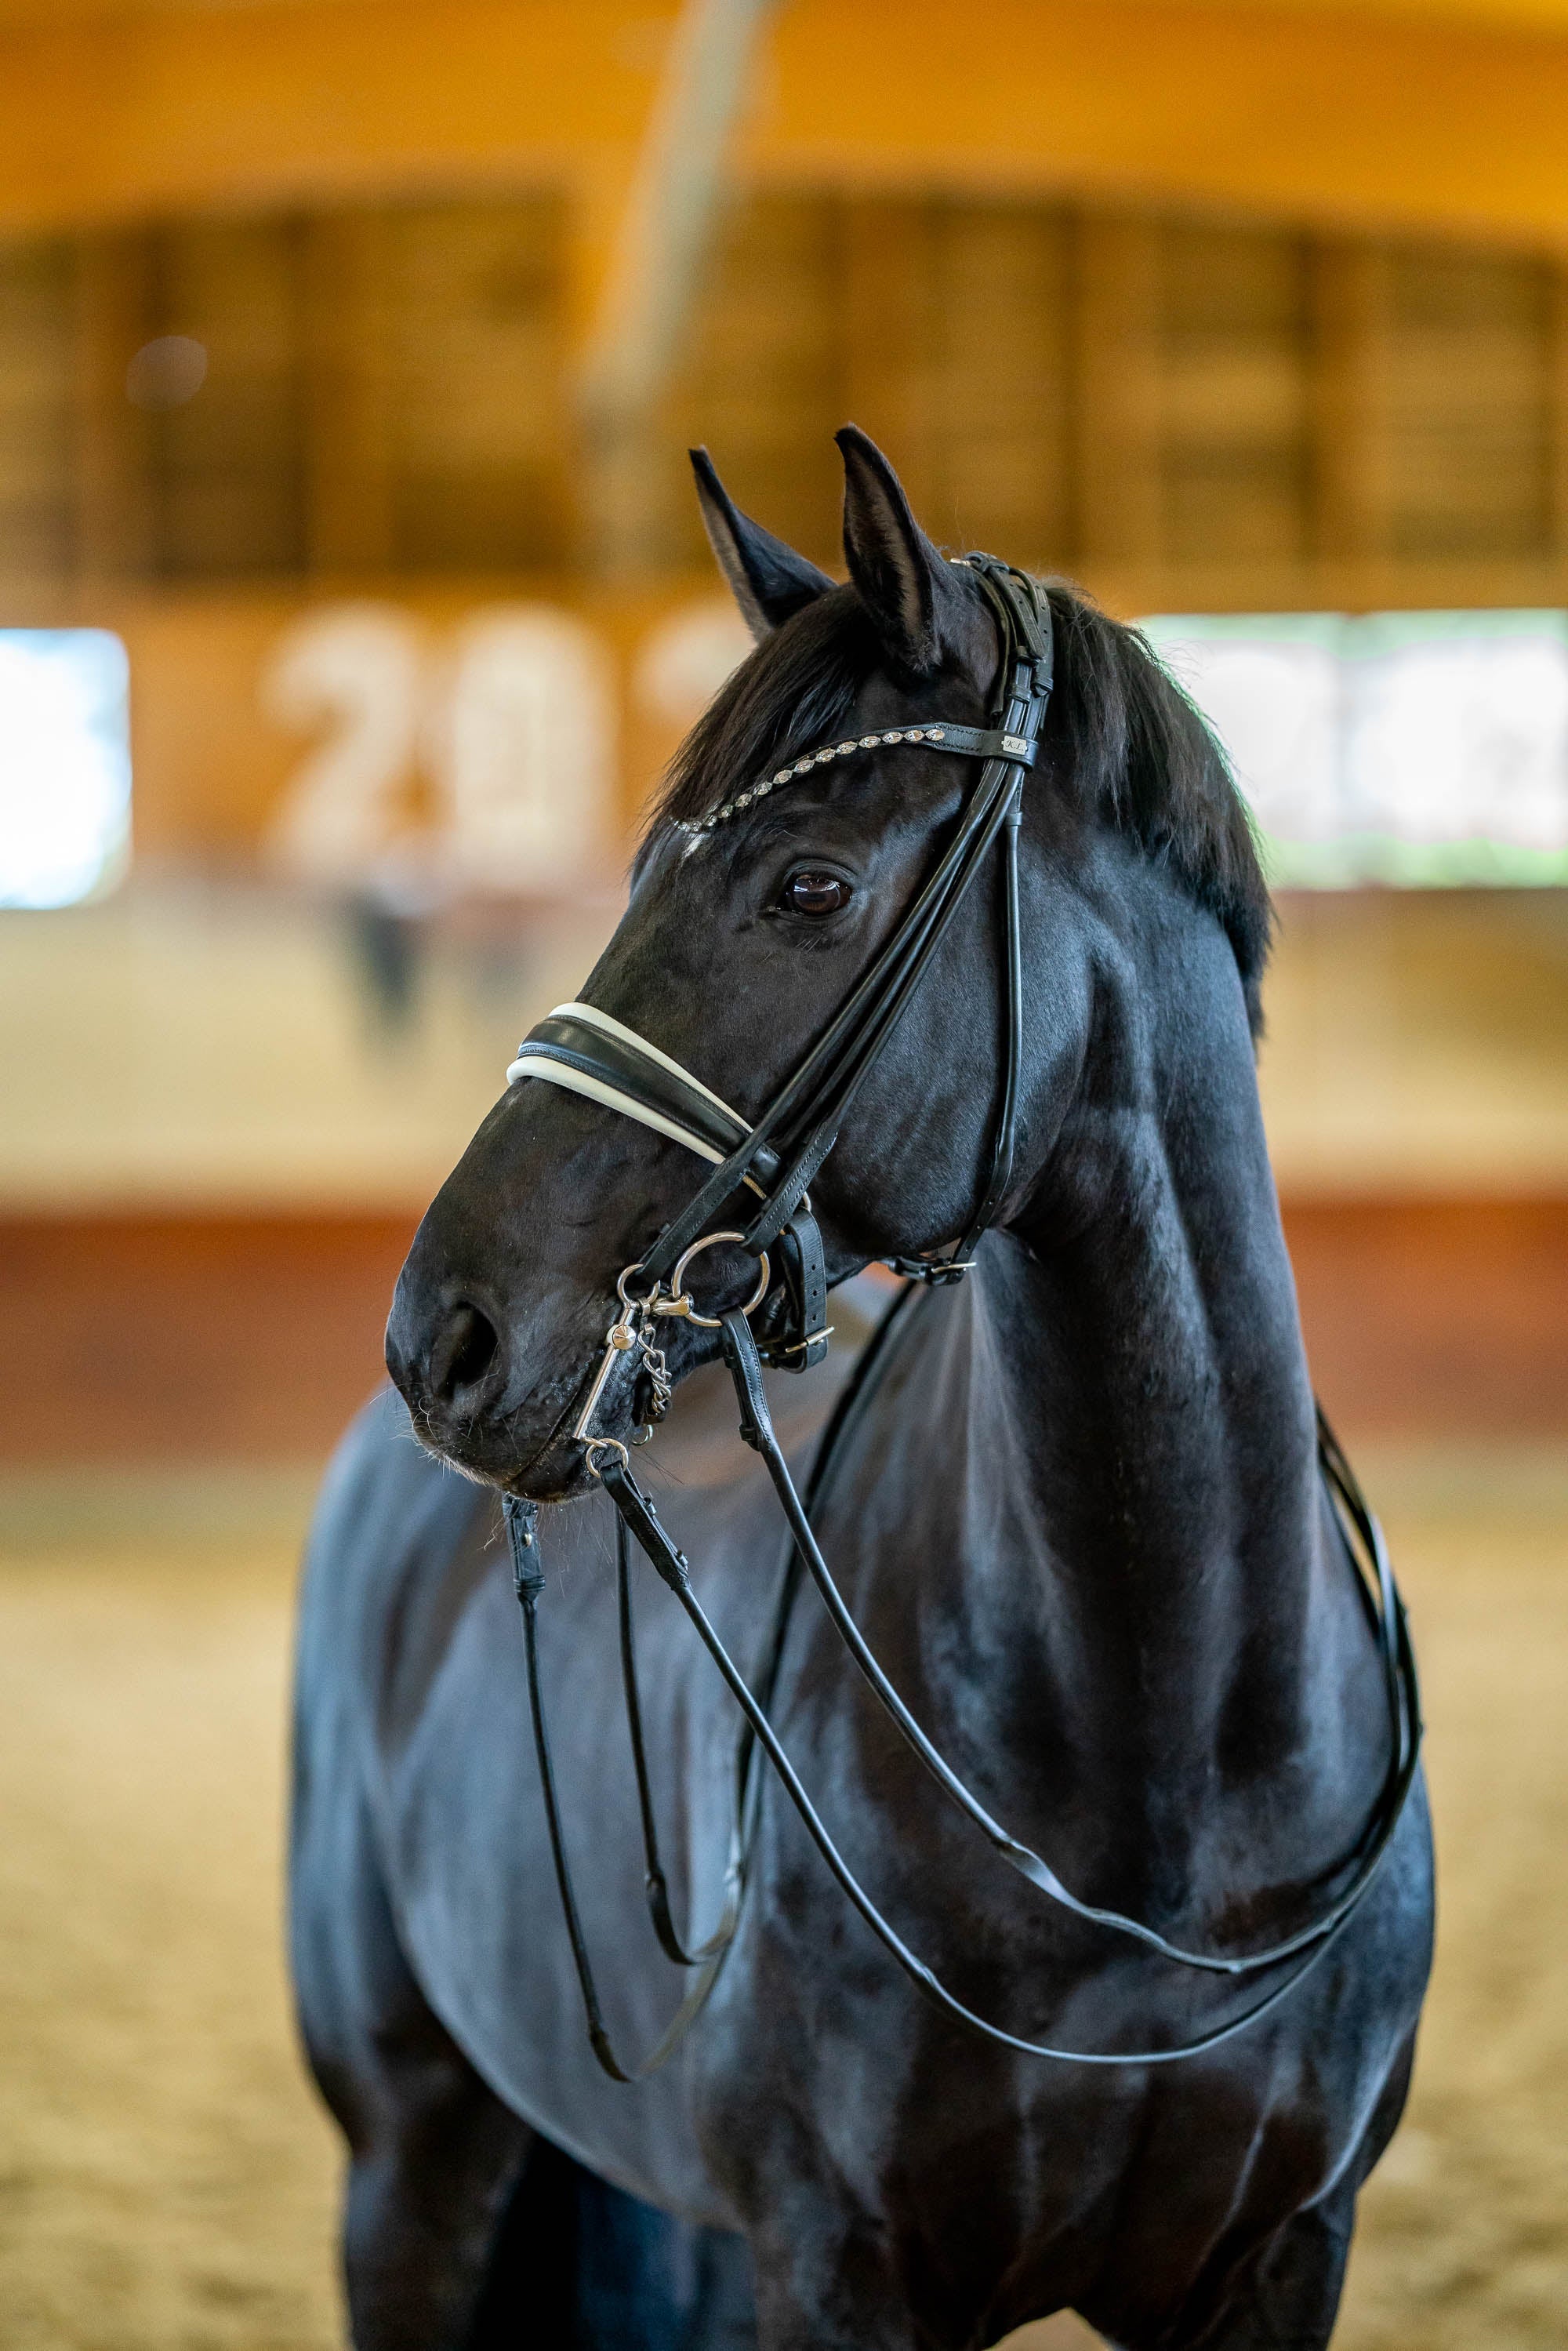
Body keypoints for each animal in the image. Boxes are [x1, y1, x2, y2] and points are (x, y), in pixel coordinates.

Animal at [291, 425, 1433, 2350]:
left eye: (808, 884)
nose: (443, 1334)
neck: (1168, 1787)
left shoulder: (1286, 2255)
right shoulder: (836, 2268)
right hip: (410, 2162)